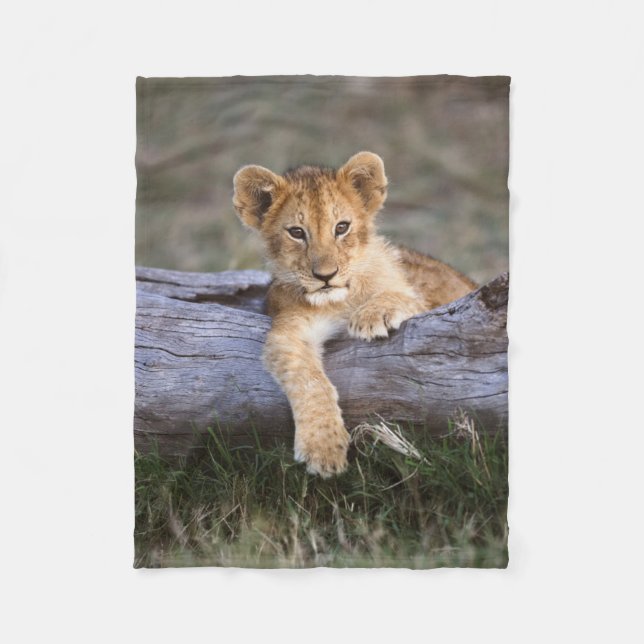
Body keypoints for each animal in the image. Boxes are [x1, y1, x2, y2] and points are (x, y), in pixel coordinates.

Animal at [233, 151, 476, 477]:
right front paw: (323, 448)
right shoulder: (289, 330)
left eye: (341, 227)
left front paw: (372, 316)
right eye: (297, 232)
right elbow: (309, 381)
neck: (339, 301)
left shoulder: (424, 303)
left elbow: (400, 295)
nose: (326, 276)